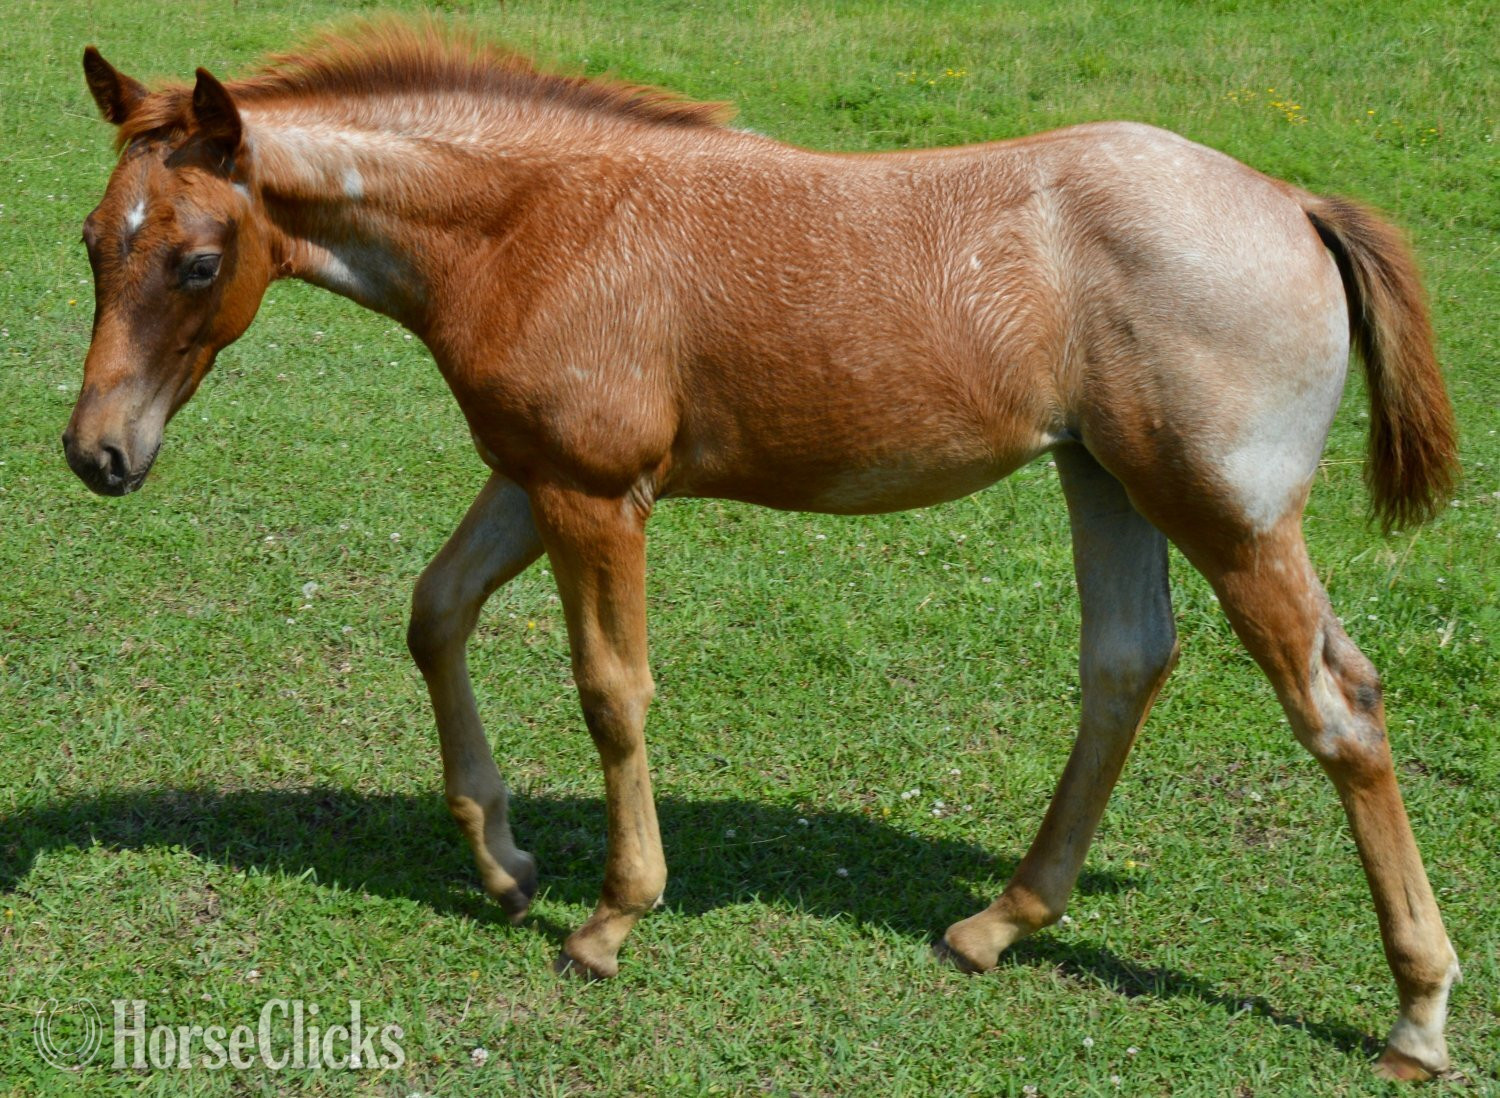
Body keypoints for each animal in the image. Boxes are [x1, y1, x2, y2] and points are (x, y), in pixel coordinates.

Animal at [64, 22, 1460, 1079]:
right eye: (90, 241)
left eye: (199, 260)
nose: (97, 455)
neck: (532, 223)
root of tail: (1293, 202)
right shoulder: (532, 475)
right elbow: (435, 611)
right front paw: (504, 863)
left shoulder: (597, 496)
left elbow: (611, 692)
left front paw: (609, 920)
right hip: (1107, 480)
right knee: (1128, 665)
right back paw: (997, 924)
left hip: (1226, 512)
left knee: (1337, 708)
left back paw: (1416, 1015)